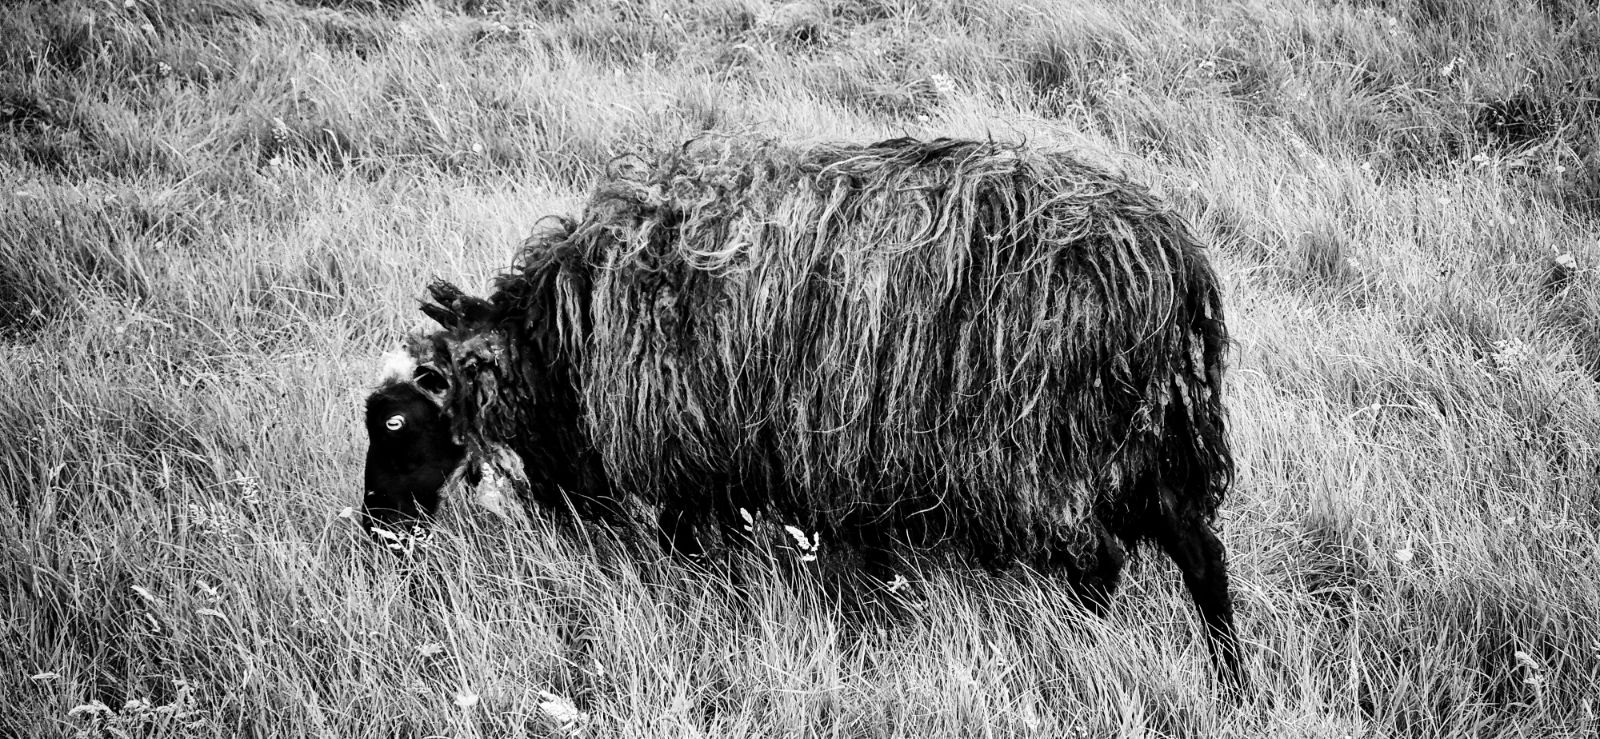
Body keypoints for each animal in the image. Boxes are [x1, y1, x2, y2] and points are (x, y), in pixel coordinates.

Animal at [360, 136, 1246, 688]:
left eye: (395, 421)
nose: (375, 529)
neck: (563, 339)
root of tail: (1171, 260)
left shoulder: (697, 449)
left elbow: (688, 547)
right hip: (1145, 440)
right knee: (1200, 553)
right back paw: (1230, 675)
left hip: (1040, 449)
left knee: (1102, 559)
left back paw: (1078, 646)